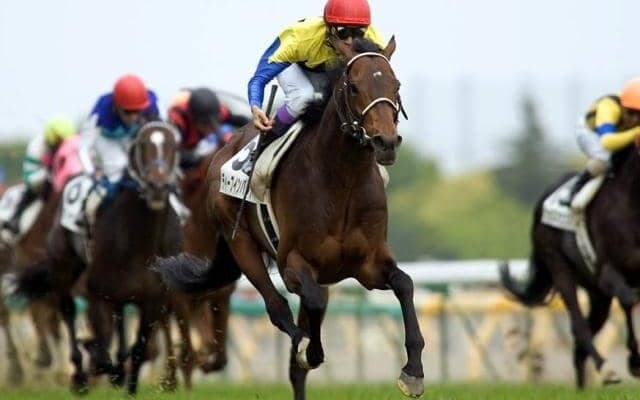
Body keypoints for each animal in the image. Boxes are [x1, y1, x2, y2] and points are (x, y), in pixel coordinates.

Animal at [17, 122, 182, 395]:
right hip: (64, 268)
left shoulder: (153, 301)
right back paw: (79, 374)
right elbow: (103, 353)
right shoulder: (98, 294)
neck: (139, 243)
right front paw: (97, 362)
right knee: (68, 310)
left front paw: (129, 384)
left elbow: (138, 350)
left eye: (174, 145)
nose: (158, 187)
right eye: (142, 145)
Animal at [154, 37, 425, 399]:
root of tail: (225, 148)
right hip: (241, 242)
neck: (341, 180)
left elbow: (405, 284)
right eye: (354, 87)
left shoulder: (368, 263)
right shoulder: (293, 262)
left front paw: (413, 371)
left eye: (396, 86)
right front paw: (310, 349)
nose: (386, 142)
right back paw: (301, 342)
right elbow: (310, 305)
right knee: (276, 307)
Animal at [501, 142, 640, 388]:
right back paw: (605, 370)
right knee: (579, 326)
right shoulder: (608, 272)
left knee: (583, 337)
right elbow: (628, 300)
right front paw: (634, 361)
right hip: (560, 267)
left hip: (597, 294)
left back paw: (583, 386)